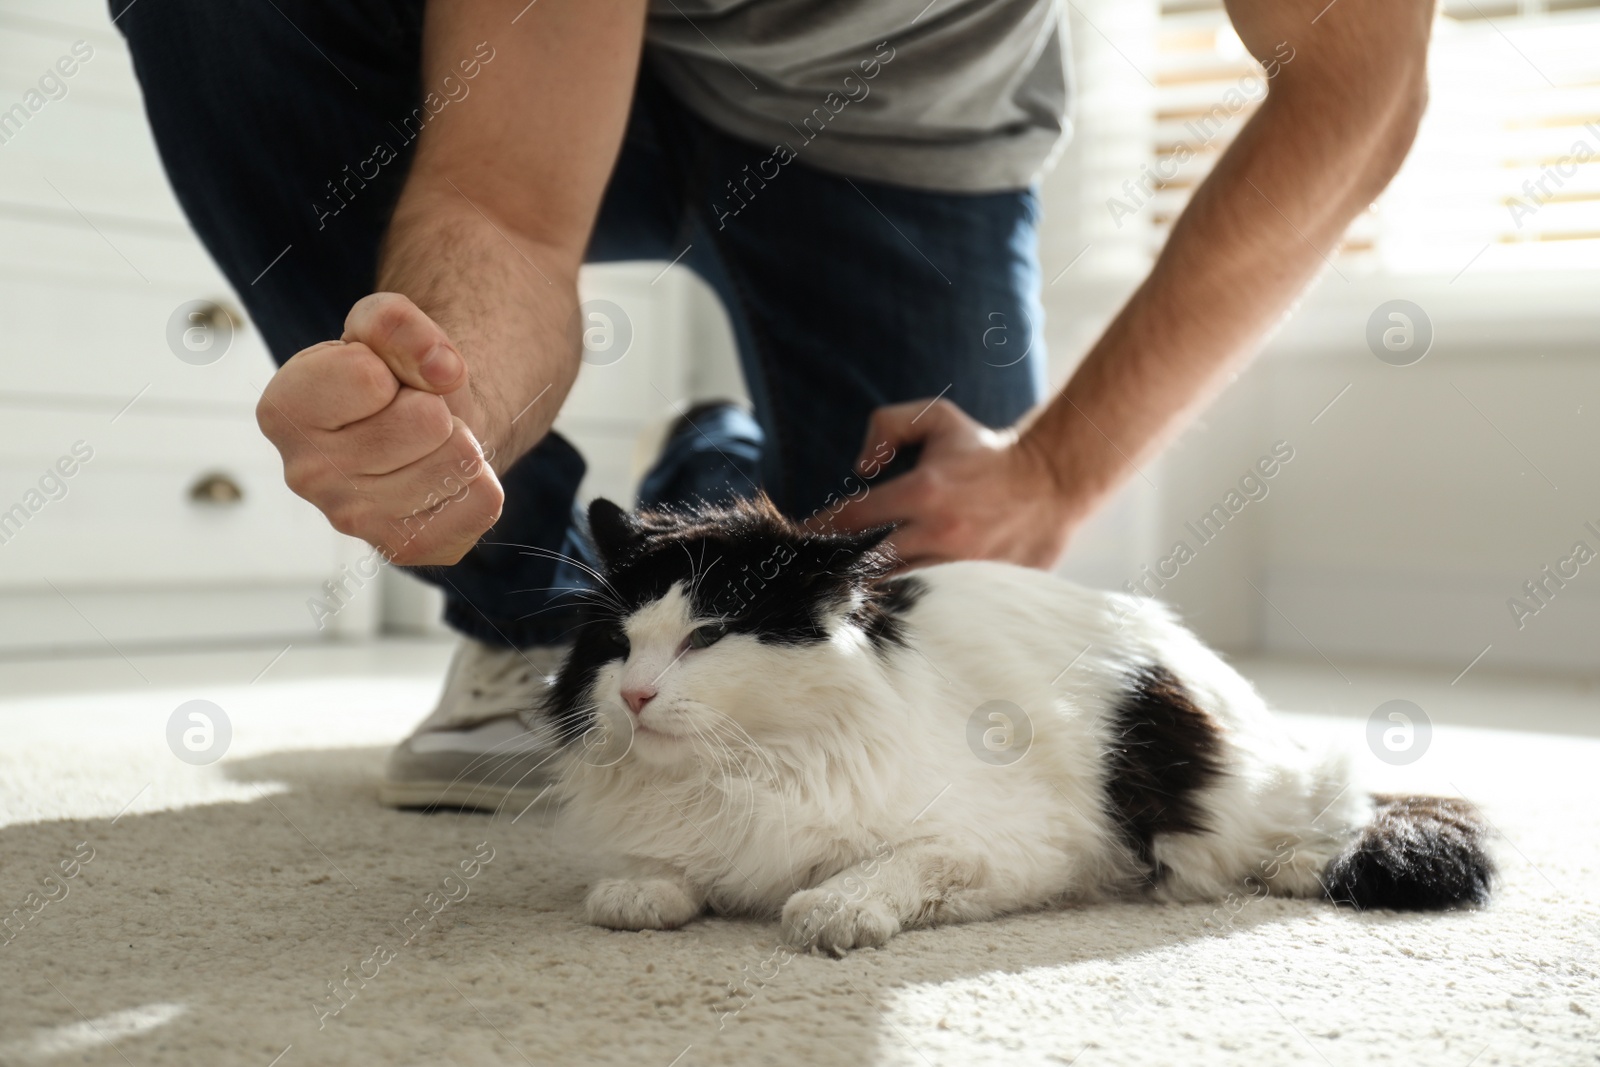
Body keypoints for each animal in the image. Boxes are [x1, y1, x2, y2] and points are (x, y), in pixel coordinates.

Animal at [544, 495, 1491, 953]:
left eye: (705, 636)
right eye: (619, 644)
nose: (635, 695)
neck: (738, 773)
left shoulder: (1017, 843)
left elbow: (890, 865)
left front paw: (835, 909)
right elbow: (662, 871)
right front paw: (643, 888)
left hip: (1251, 787)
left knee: (1341, 805)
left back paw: (1296, 863)